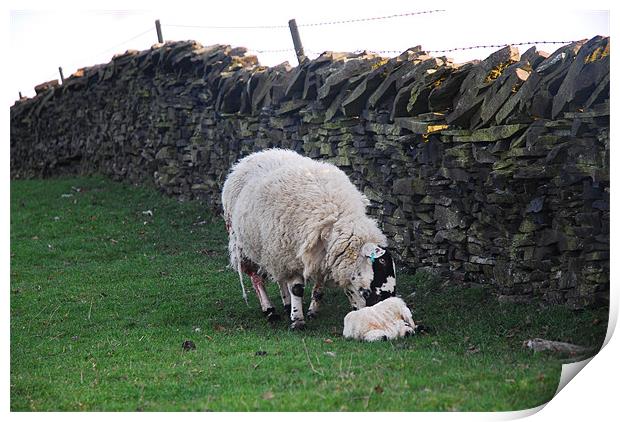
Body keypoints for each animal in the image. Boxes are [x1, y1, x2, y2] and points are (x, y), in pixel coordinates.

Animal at [223, 149, 398, 330]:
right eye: (369, 291)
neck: (336, 217)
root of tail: (255, 155)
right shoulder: (291, 256)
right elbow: (297, 289)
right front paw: (297, 320)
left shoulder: (322, 258)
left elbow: (319, 288)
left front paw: (311, 311)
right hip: (244, 243)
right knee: (256, 278)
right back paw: (270, 310)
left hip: (274, 249)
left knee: (280, 278)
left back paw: (287, 304)